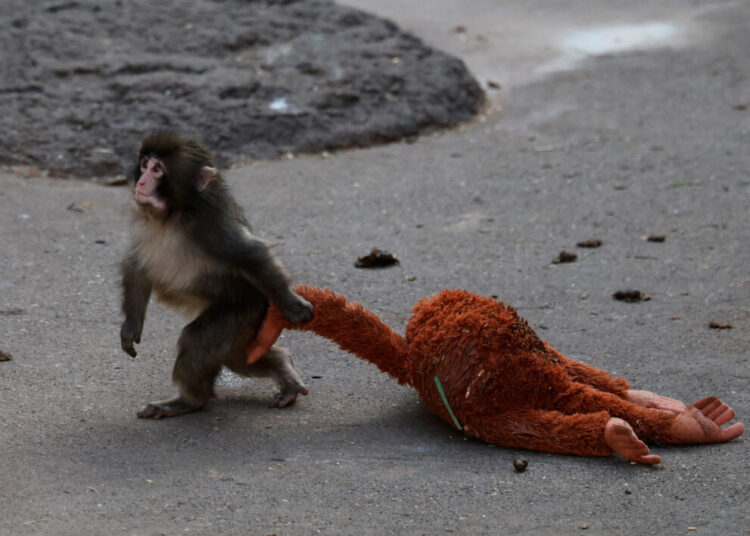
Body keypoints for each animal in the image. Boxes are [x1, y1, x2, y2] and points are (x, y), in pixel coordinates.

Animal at [120, 132, 313, 419]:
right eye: (144, 164)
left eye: (157, 170)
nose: (141, 181)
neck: (172, 215)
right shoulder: (142, 222)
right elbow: (136, 265)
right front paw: (132, 324)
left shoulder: (211, 227)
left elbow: (251, 254)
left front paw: (292, 303)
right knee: (240, 358)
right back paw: (284, 367)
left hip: (246, 309)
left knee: (199, 341)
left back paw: (189, 401)